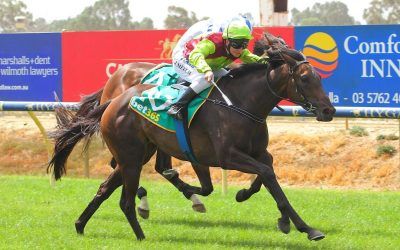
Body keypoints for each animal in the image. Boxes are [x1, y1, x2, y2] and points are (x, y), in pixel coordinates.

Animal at [51, 45, 336, 240]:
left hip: (139, 152)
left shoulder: (253, 153)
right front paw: (305, 227)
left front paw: (273, 213)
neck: (242, 104)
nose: (329, 110)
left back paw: (80, 225)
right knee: (125, 194)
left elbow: (266, 172)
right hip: (132, 156)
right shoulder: (226, 157)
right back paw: (140, 232)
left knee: (106, 187)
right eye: (305, 79)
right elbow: (266, 174)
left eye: (319, 78)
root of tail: (113, 99)